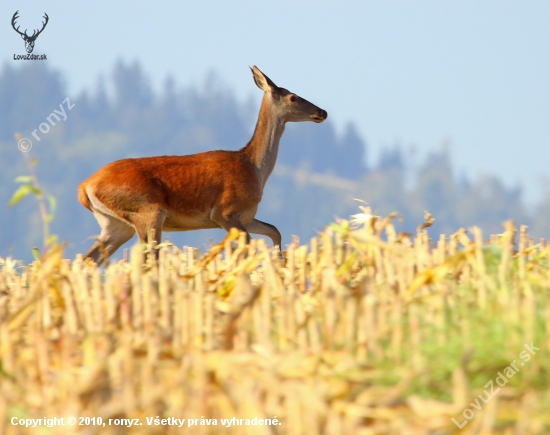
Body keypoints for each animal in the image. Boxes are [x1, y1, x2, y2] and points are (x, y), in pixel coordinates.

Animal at [77, 65, 328, 264]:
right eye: (293, 97)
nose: (322, 112)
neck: (253, 168)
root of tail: (84, 187)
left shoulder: (246, 216)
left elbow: (274, 231)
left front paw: (280, 263)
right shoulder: (224, 211)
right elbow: (246, 246)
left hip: (115, 224)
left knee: (87, 259)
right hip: (147, 211)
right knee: (149, 259)